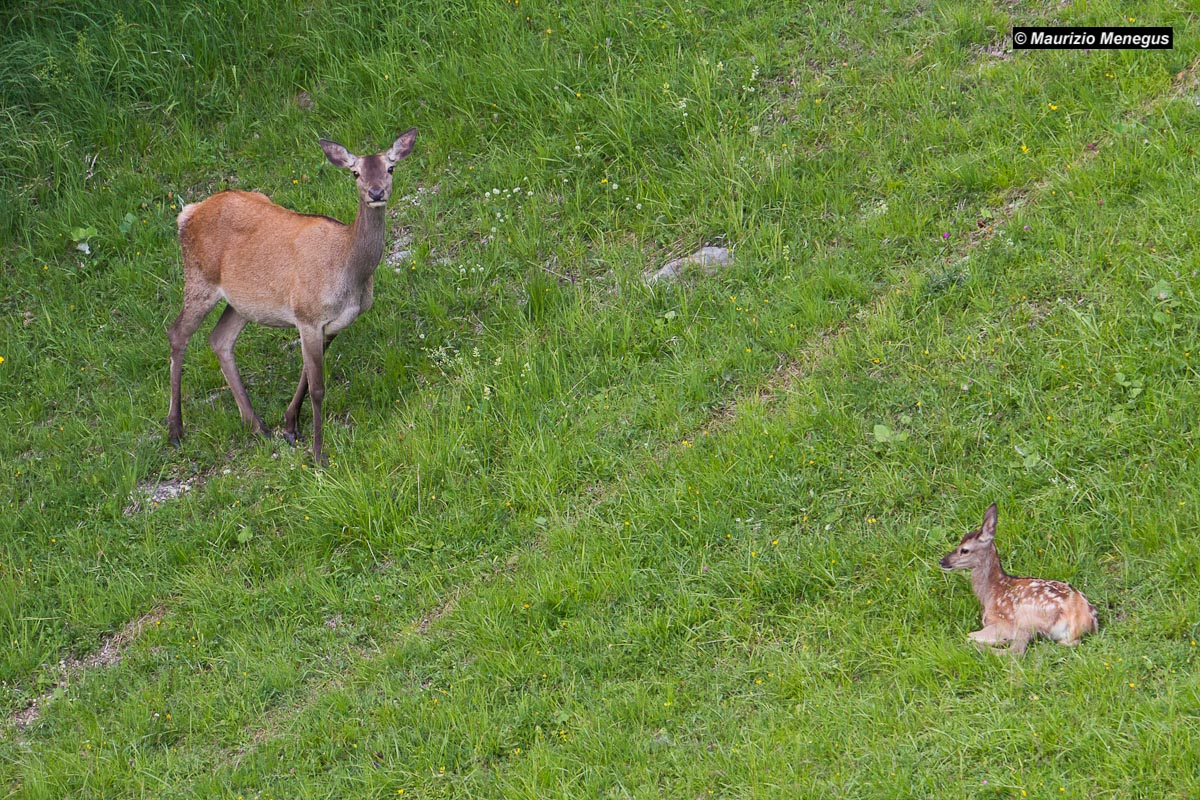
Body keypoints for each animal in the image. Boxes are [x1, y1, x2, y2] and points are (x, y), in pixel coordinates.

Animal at [167, 128, 418, 464]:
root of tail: (186, 213)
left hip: (242, 302)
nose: (376, 193)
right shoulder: (307, 314)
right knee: (177, 334)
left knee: (219, 339)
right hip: (198, 279)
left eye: (390, 168)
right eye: (355, 173)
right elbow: (318, 388)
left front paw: (290, 427)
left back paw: (257, 425)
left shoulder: (332, 324)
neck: (350, 273)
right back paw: (176, 430)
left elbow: (306, 376)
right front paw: (318, 454)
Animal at [939, 503, 1098, 655]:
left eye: (964, 550)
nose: (942, 561)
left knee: (1016, 651)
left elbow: (969, 635)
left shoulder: (1004, 622)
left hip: (1027, 617)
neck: (990, 592)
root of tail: (1084, 619)